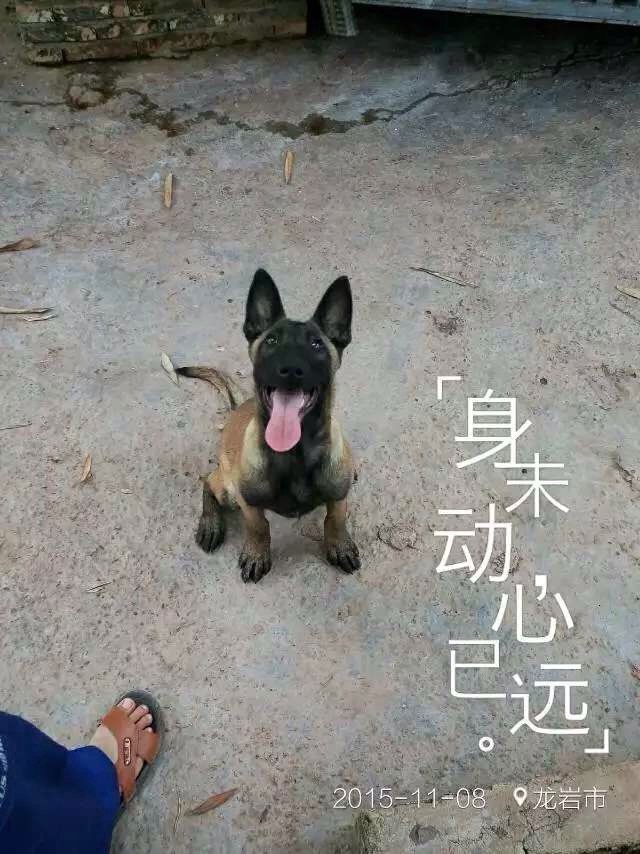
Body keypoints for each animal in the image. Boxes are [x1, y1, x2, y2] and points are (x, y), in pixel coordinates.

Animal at [177, 269, 360, 583]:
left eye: (316, 344)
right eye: (272, 341)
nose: (291, 370)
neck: (295, 454)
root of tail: (239, 406)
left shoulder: (338, 495)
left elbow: (335, 518)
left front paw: (339, 545)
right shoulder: (248, 502)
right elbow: (259, 527)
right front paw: (256, 554)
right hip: (227, 489)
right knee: (208, 483)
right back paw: (211, 523)